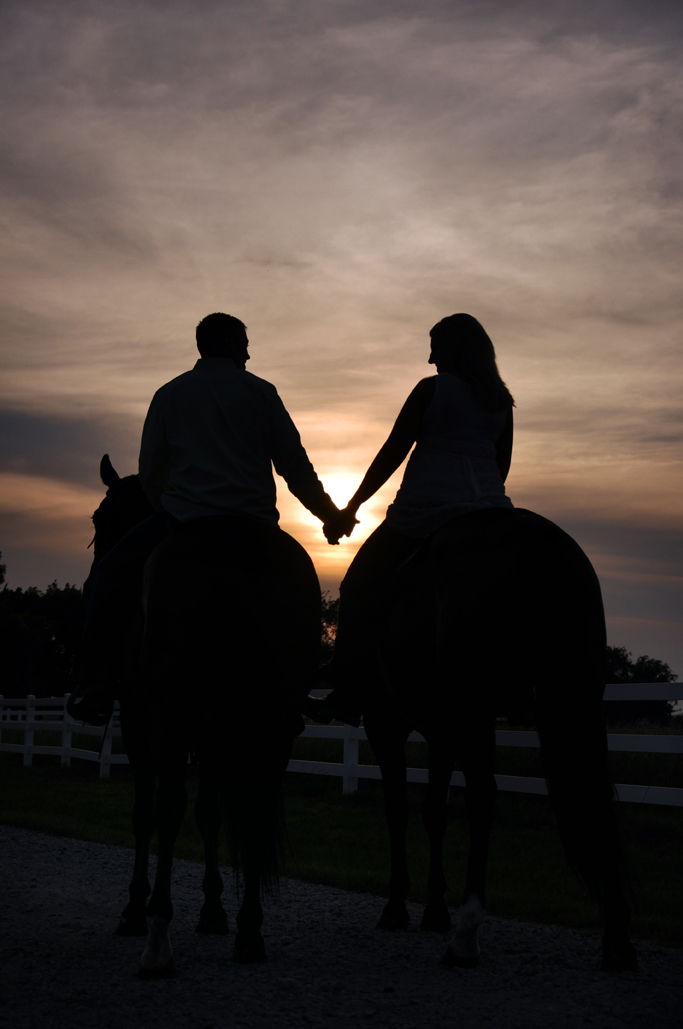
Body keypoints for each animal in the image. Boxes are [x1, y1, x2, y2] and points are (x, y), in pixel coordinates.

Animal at [72, 454, 320, 967]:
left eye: (100, 519)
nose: (88, 581)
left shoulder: (142, 719)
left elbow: (147, 812)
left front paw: (135, 908)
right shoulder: (211, 731)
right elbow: (209, 812)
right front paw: (213, 908)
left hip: (173, 716)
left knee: (168, 806)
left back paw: (157, 931)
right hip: (266, 723)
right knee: (251, 804)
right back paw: (249, 930)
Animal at [360, 506, 637, 971]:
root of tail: (531, 535)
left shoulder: (386, 725)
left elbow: (398, 809)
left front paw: (398, 907)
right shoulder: (442, 731)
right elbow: (434, 811)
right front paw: (433, 910)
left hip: (476, 709)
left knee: (483, 798)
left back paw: (466, 937)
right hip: (576, 691)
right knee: (593, 797)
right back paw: (617, 939)